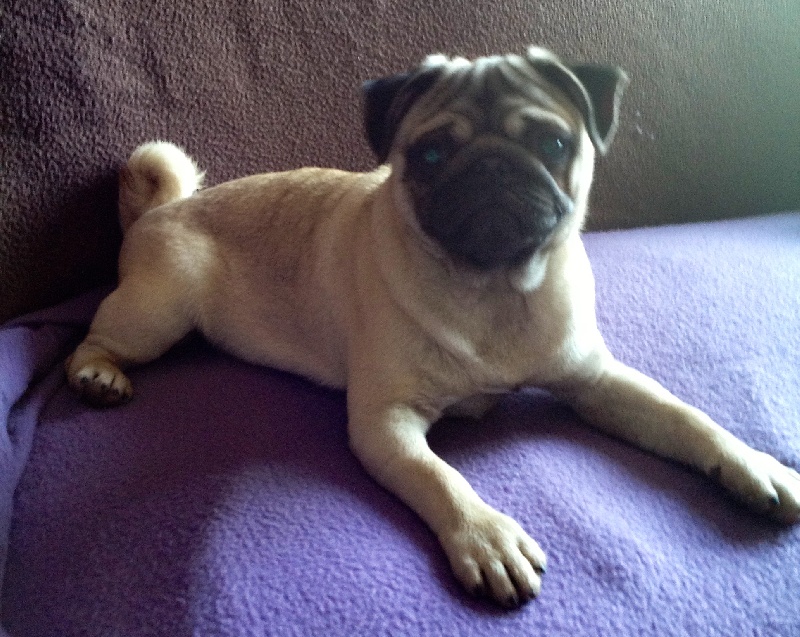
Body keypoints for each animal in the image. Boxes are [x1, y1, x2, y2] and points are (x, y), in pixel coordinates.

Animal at [66, 46, 800, 608]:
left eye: (553, 143)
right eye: (430, 155)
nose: (493, 168)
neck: (493, 289)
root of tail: (166, 207)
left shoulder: (597, 381)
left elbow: (686, 418)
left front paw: (754, 463)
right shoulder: (385, 422)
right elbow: (441, 478)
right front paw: (487, 537)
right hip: (159, 310)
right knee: (94, 339)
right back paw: (99, 374)